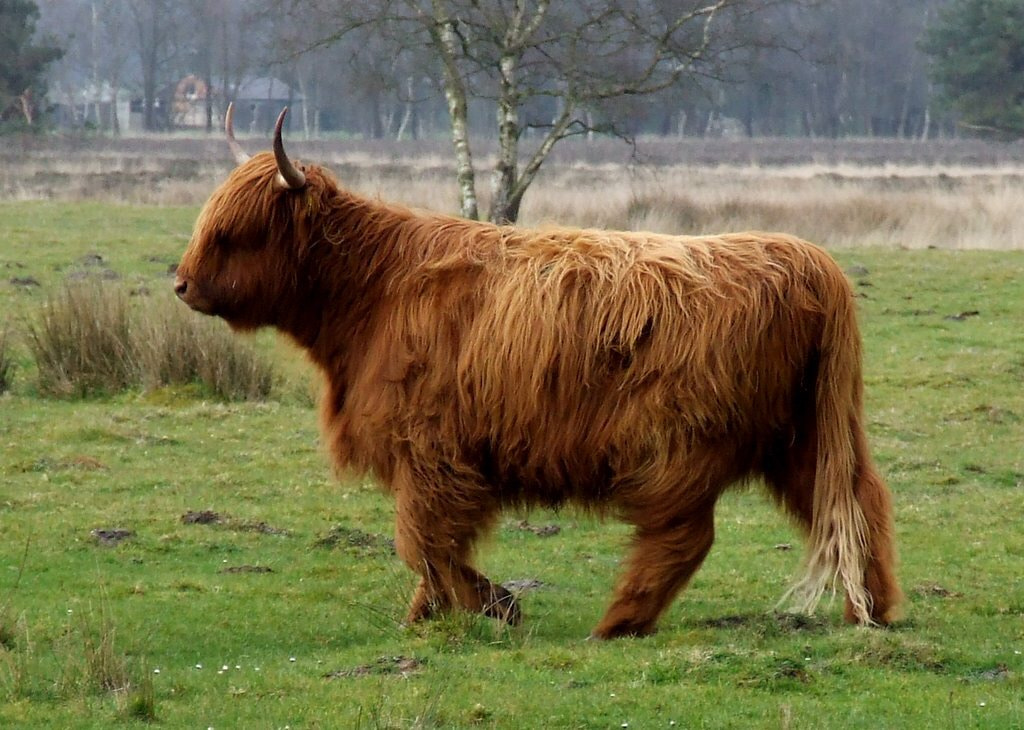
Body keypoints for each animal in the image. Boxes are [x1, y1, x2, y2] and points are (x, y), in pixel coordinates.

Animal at [176, 105, 905, 634]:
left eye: (236, 233)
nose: (181, 283)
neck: (375, 291)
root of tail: (806, 258)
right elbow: (429, 547)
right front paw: (428, 616)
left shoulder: (433, 451)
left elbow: (422, 541)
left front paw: (493, 606)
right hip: (803, 436)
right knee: (855, 503)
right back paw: (870, 611)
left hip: (683, 442)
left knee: (686, 534)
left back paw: (619, 622)